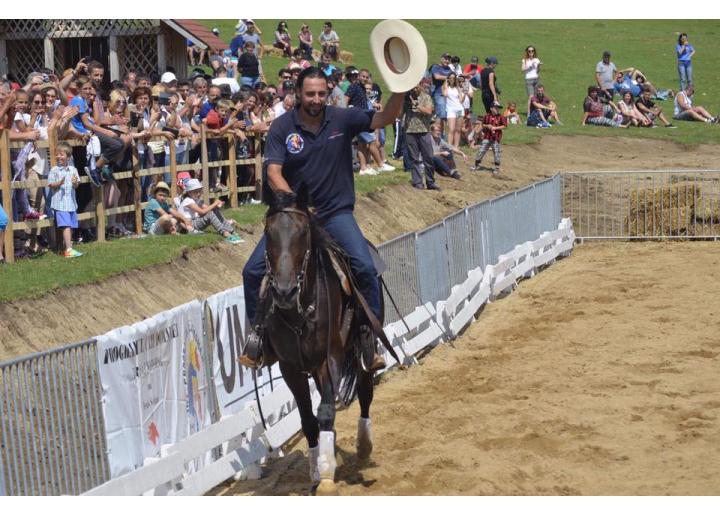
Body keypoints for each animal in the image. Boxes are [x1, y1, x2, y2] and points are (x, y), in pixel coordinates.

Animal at [262, 195, 380, 492]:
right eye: (268, 233)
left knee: (365, 392)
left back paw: (364, 446)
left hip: (359, 353)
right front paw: (316, 470)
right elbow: (308, 420)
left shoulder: (331, 359)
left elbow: (325, 411)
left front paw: (326, 476)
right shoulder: (290, 368)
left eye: (303, 233)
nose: (284, 291)